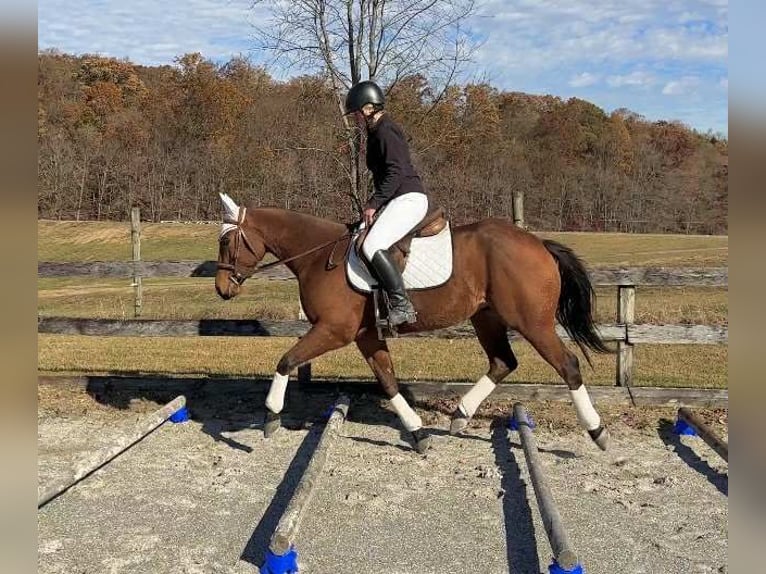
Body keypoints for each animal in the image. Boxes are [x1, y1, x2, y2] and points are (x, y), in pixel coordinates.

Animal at [214, 194, 613, 454]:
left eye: (227, 241)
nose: (221, 289)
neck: (318, 255)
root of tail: (539, 244)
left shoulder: (334, 331)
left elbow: (285, 360)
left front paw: (271, 416)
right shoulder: (366, 336)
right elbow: (389, 381)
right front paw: (419, 433)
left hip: (532, 322)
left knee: (568, 365)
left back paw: (597, 431)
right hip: (486, 317)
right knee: (503, 362)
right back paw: (460, 416)